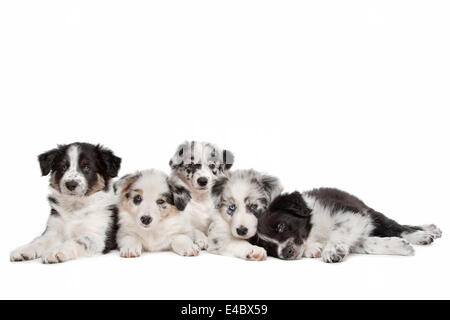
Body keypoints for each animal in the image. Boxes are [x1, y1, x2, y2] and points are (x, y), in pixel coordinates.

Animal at [255, 188, 442, 262]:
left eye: (281, 226)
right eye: (269, 248)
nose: (285, 253)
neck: (313, 231)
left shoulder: (351, 214)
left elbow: (338, 231)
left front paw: (331, 250)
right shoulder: (357, 231)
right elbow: (368, 244)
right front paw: (399, 247)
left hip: (371, 212)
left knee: (397, 227)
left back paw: (424, 234)